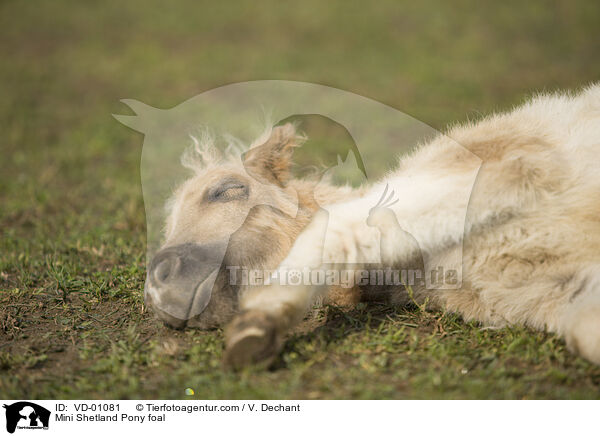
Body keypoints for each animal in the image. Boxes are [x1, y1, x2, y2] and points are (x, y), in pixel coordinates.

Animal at [145, 83, 600, 366]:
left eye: (225, 190)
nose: (158, 284)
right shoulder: (560, 291)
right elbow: (585, 333)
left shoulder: (509, 166)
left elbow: (342, 225)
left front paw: (259, 325)